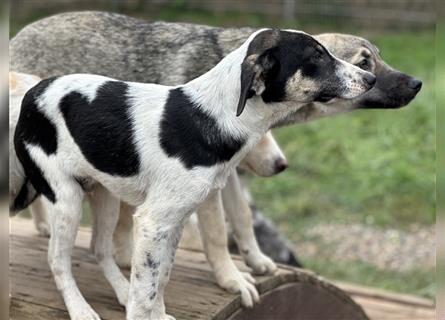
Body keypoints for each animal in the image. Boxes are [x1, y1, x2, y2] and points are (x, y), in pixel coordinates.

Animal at [13, 28, 372, 318]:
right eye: (317, 56)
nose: (370, 80)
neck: (211, 116)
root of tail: (33, 90)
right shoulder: (153, 221)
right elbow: (147, 291)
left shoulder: (175, 221)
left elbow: (160, 279)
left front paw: (155, 312)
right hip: (67, 200)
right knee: (58, 261)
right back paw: (81, 310)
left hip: (104, 195)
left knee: (99, 249)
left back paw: (120, 291)